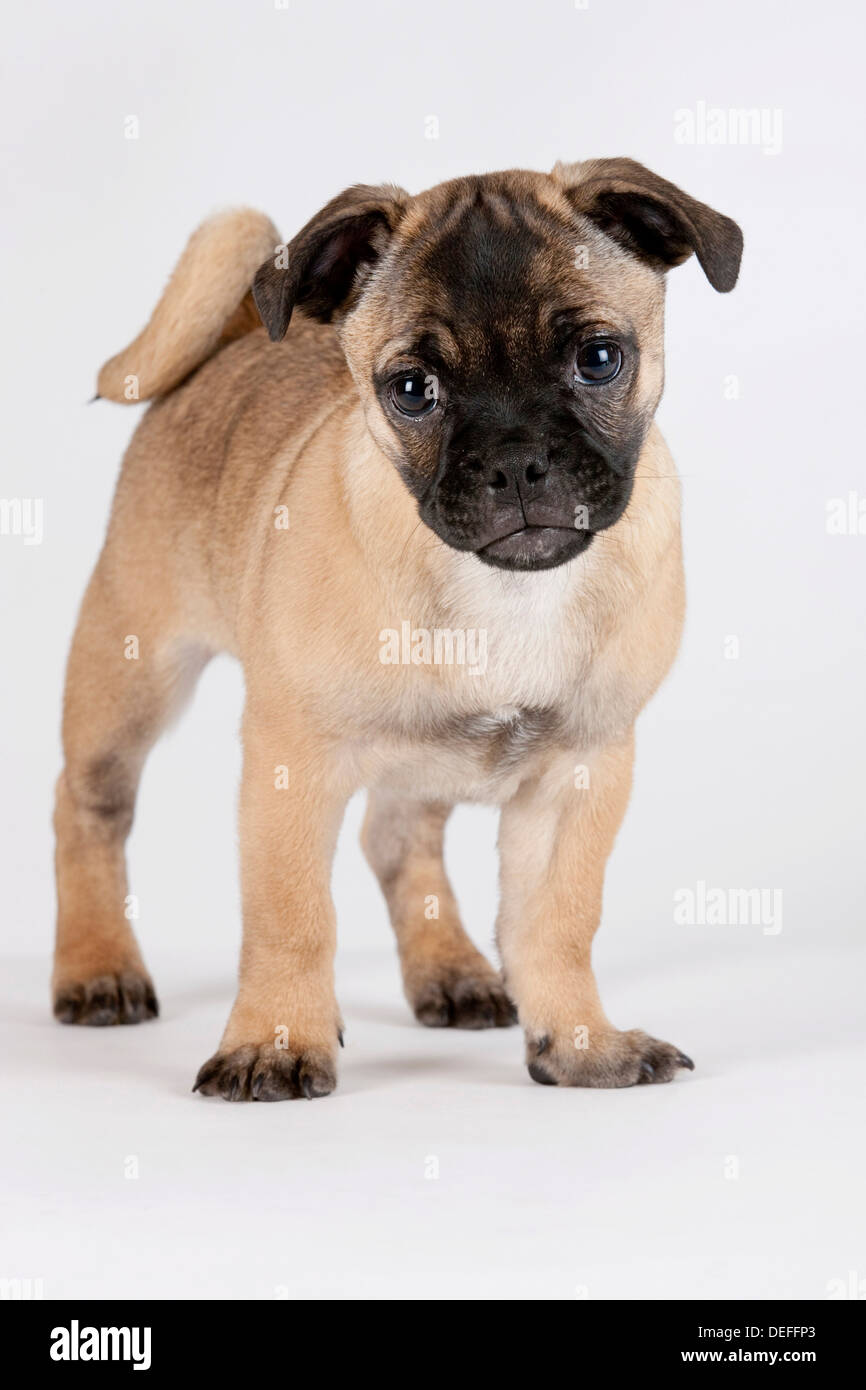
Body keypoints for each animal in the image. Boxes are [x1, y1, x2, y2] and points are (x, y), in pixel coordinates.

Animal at [54, 162, 739, 1095]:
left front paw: (580, 1044)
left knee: (395, 838)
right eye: (412, 391)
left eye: (599, 359)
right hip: (132, 671)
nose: (516, 459)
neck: (505, 590)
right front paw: (274, 1041)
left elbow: (557, 921)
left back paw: (450, 970)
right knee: (89, 805)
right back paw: (96, 969)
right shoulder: (291, 767)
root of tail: (232, 339)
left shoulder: (582, 771)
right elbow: (291, 915)